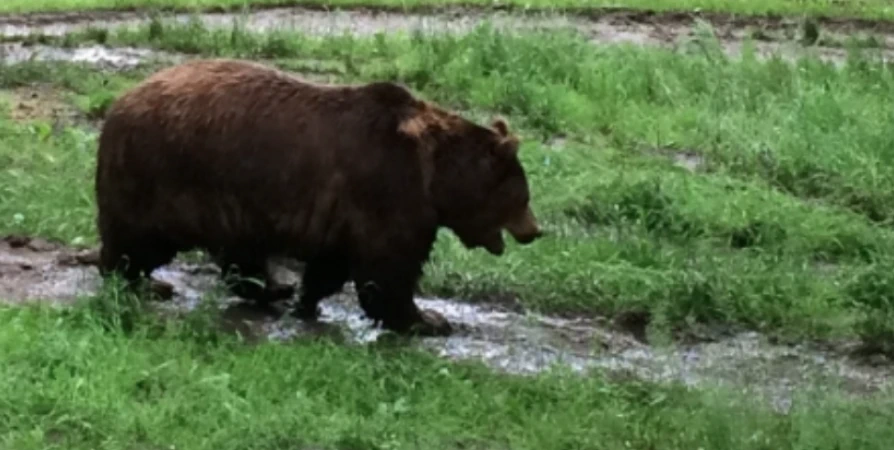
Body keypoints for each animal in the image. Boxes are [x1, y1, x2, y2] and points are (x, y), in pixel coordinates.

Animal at [94, 58, 544, 336]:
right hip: (161, 177)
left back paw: (273, 288)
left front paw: (307, 301)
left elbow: (334, 264)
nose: (535, 231)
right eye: (522, 197)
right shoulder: (388, 188)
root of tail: (117, 105)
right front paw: (428, 320)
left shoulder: (346, 209)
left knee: (241, 254)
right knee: (137, 243)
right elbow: (388, 270)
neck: (436, 176)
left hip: (227, 198)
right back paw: (146, 284)